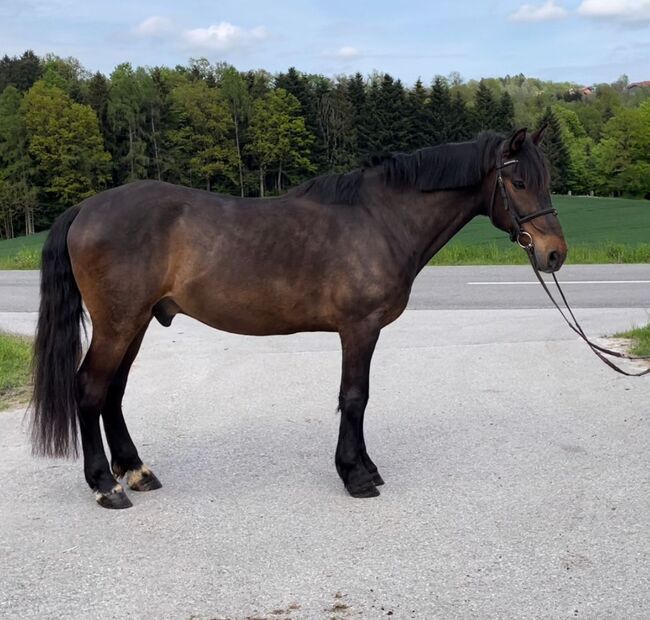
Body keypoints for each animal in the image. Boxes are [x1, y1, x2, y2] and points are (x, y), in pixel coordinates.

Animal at [30, 126, 564, 508]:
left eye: (548, 180)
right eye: (518, 182)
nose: (555, 254)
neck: (380, 218)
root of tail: (85, 208)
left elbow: (357, 399)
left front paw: (365, 467)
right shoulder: (359, 327)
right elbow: (355, 398)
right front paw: (356, 475)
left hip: (135, 322)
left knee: (113, 392)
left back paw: (136, 471)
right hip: (118, 323)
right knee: (90, 389)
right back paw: (105, 485)